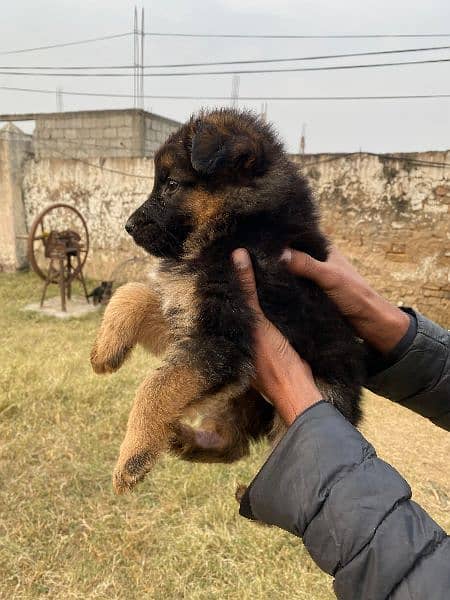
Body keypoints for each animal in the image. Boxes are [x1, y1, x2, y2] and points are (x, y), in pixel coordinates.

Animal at [90, 108, 366, 492]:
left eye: (171, 184)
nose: (128, 226)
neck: (236, 226)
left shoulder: (222, 340)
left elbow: (154, 387)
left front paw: (132, 457)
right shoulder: (187, 318)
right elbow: (132, 292)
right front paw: (105, 350)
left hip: (314, 401)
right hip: (238, 393)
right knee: (233, 442)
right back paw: (184, 439)